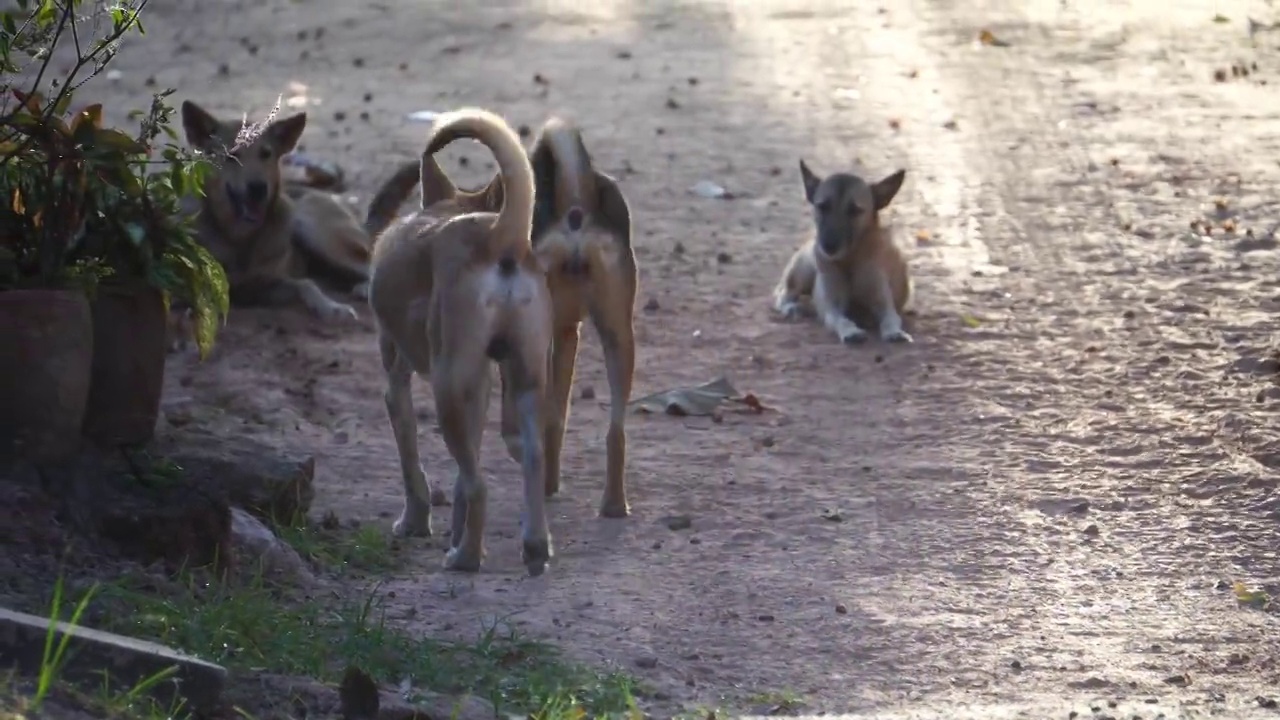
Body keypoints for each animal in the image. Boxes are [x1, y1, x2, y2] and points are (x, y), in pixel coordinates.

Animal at [179, 99, 389, 317]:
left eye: (266, 154)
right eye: (232, 155)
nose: (258, 188)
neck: (240, 238)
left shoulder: (268, 283)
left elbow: (306, 284)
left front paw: (332, 307)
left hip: (313, 229)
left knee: (368, 265)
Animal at [366, 107, 555, 576]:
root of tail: (500, 236)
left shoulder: (397, 383)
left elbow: (412, 464)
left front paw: (415, 522)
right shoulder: (483, 384)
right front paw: (453, 529)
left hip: (447, 388)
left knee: (478, 485)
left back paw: (467, 557)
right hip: (525, 381)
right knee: (531, 459)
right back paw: (534, 546)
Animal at [368, 117, 640, 517]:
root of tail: (575, 201)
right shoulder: (565, 333)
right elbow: (557, 416)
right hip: (617, 335)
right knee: (614, 429)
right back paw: (611, 502)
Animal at [768, 160, 911, 345]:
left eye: (855, 210)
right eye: (822, 207)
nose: (828, 246)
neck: (849, 260)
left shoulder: (884, 304)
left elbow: (890, 319)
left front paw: (894, 332)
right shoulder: (833, 308)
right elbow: (842, 320)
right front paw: (851, 331)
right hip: (802, 273)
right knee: (784, 295)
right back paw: (792, 308)